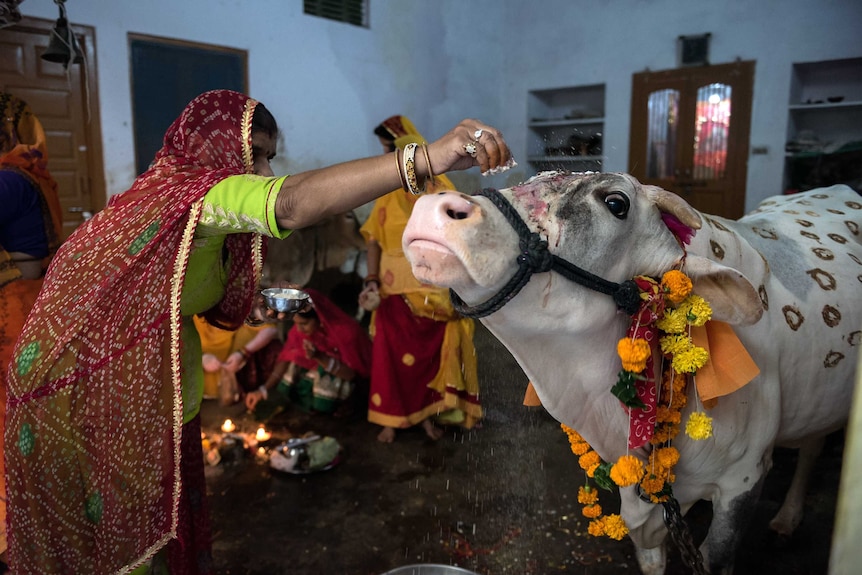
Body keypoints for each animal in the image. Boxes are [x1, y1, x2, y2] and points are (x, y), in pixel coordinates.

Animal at [404, 172, 862, 575]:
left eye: (616, 203)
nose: (430, 207)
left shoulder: (743, 479)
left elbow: (715, 556)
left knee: (813, 449)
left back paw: (787, 517)